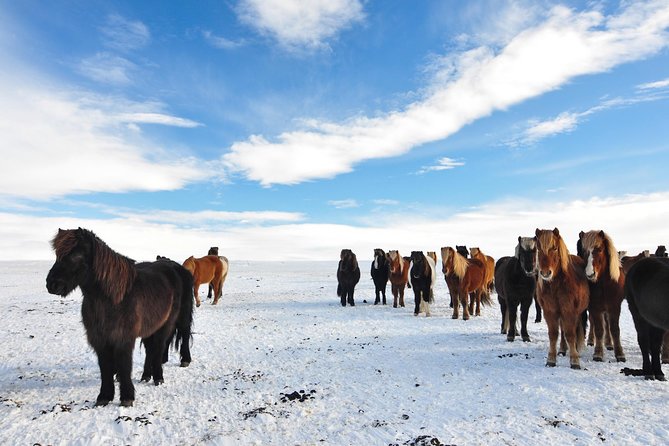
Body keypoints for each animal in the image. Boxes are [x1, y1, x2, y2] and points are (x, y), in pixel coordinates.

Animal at [44, 228, 192, 406]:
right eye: (57, 254)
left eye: (76, 255)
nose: (52, 284)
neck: (113, 298)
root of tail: (173, 267)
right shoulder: (100, 339)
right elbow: (105, 367)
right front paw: (104, 397)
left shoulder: (123, 338)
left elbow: (124, 364)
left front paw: (127, 397)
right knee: (151, 349)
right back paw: (146, 376)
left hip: (172, 321)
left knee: (168, 342)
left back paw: (164, 373)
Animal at [532, 228, 588, 368]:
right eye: (538, 248)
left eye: (554, 248)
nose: (545, 273)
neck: (557, 286)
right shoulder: (550, 311)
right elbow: (553, 334)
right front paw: (551, 359)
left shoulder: (569, 311)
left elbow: (570, 334)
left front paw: (575, 360)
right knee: (562, 330)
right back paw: (562, 349)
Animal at [580, 230, 628, 362]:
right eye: (584, 250)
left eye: (600, 249)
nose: (590, 274)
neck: (603, 284)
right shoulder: (595, 308)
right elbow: (599, 329)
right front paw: (598, 353)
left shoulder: (614, 307)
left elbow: (614, 329)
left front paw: (620, 354)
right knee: (593, 324)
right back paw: (592, 340)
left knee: (607, 324)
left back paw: (609, 344)